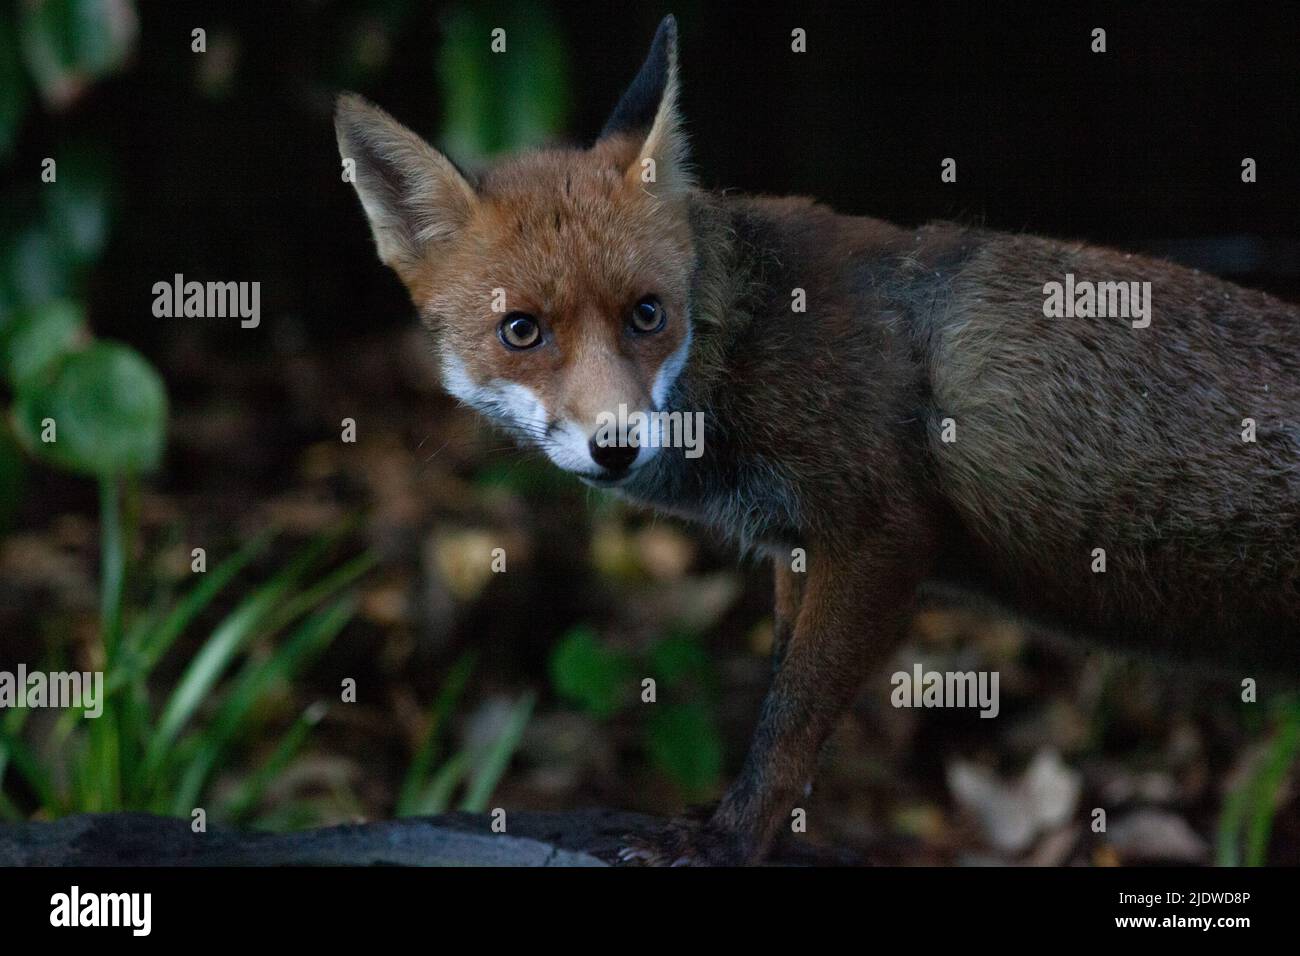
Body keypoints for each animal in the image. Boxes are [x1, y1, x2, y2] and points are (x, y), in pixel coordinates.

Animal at [340, 16, 1300, 868]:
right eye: (522, 331)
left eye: (647, 314)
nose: (615, 444)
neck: (744, 341)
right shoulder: (796, 548)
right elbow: (783, 698)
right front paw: (764, 833)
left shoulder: (881, 535)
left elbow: (791, 720)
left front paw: (726, 842)